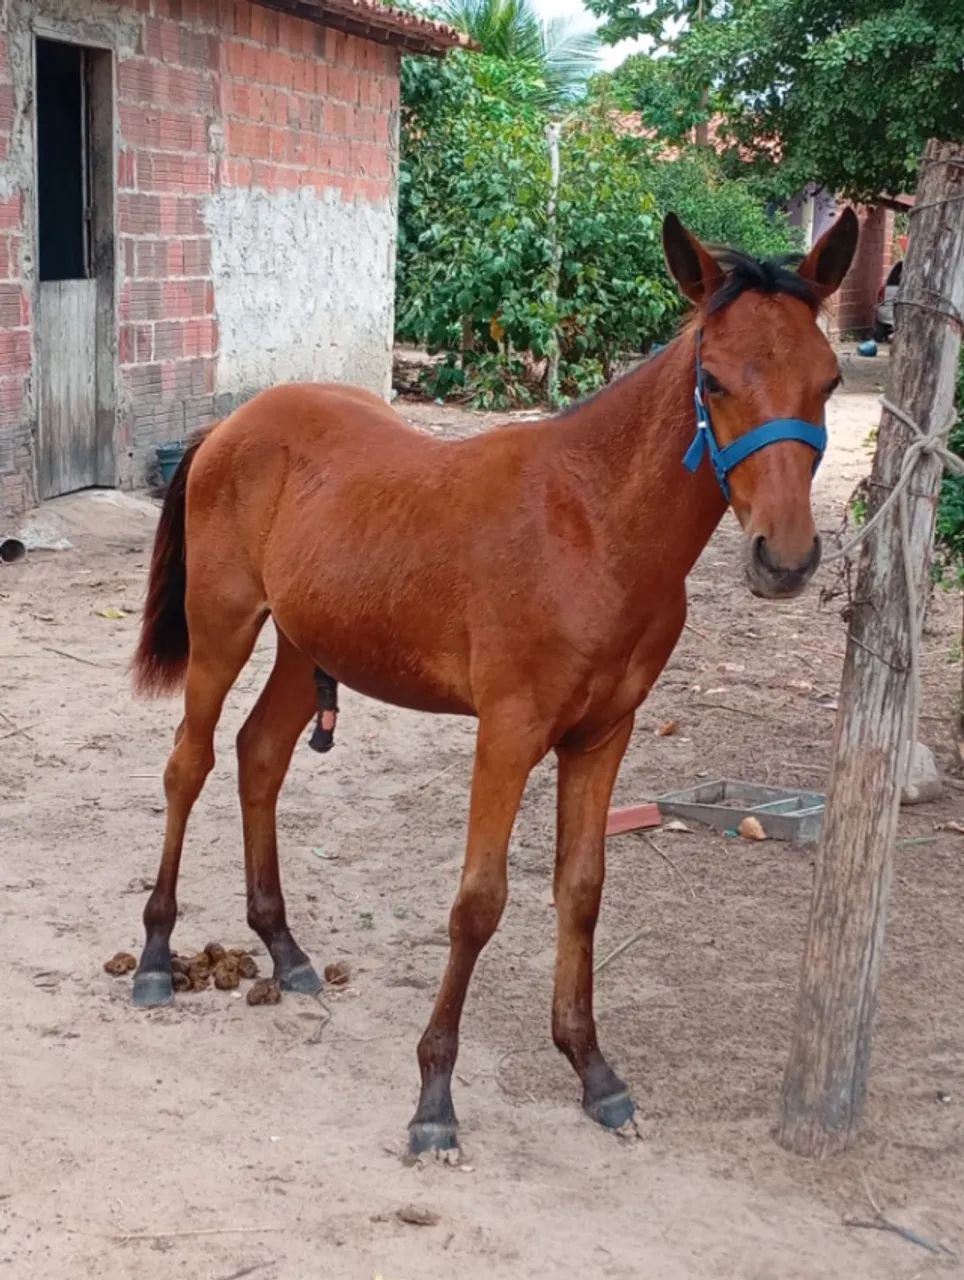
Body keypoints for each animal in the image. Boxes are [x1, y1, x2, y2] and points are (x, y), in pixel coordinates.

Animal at [130, 209, 859, 1156]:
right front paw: (434, 1096)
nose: (786, 559)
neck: (594, 524)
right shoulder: (508, 732)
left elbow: (581, 891)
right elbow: (479, 902)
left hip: (303, 642)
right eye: (714, 378)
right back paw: (153, 956)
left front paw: (594, 1071)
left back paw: (284, 949)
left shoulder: (604, 733)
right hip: (223, 628)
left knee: (259, 756)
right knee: (190, 764)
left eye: (829, 380)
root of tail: (231, 425)